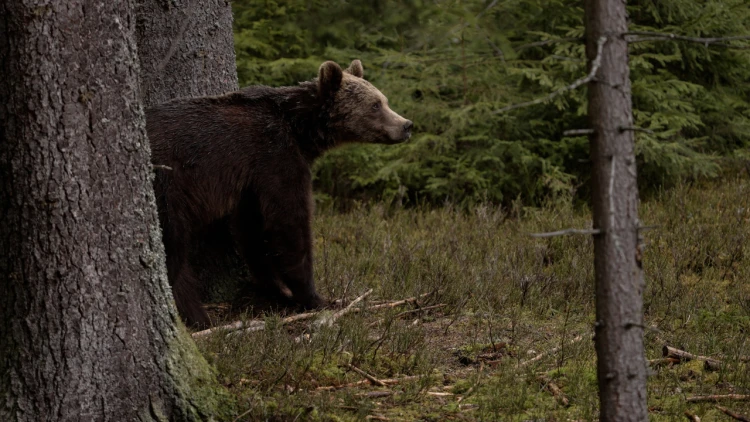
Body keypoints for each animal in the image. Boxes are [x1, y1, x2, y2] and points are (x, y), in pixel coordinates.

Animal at [145, 59, 418, 326]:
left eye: (384, 100)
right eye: (375, 104)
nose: (407, 125)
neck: (300, 129)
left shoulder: (251, 182)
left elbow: (252, 232)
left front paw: (275, 290)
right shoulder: (275, 156)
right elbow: (289, 223)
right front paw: (314, 297)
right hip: (169, 186)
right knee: (173, 246)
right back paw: (195, 315)